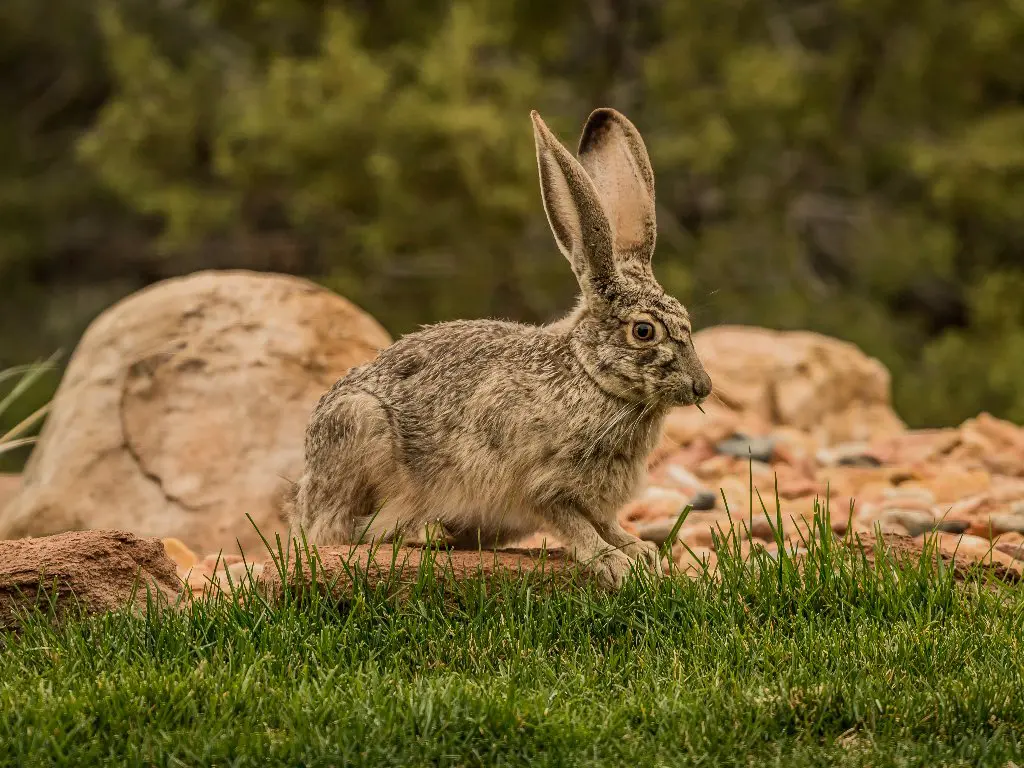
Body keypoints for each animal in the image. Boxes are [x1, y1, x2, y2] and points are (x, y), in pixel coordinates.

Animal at [284, 108, 708, 589]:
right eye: (643, 331)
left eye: (686, 320)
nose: (703, 387)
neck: (589, 376)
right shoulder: (542, 485)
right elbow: (573, 523)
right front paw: (612, 562)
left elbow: (605, 522)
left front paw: (638, 551)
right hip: (360, 429)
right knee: (349, 531)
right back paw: (427, 532)